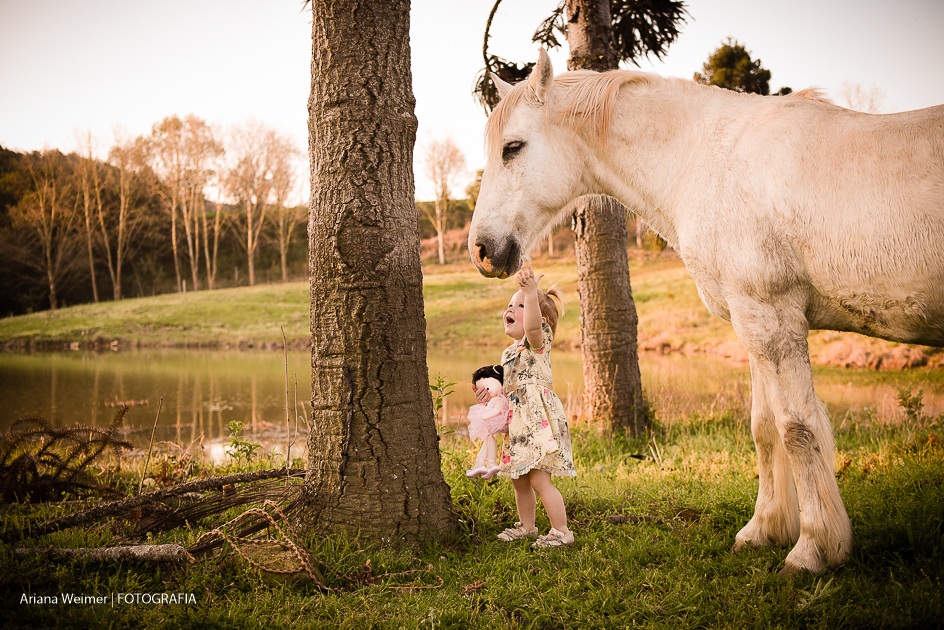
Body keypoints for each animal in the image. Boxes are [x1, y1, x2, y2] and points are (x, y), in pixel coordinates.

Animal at [468, 49, 944, 574]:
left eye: (513, 147)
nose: (482, 250)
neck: (706, 160)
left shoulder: (770, 317)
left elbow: (797, 428)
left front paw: (813, 549)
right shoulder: (753, 322)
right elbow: (764, 428)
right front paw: (763, 531)